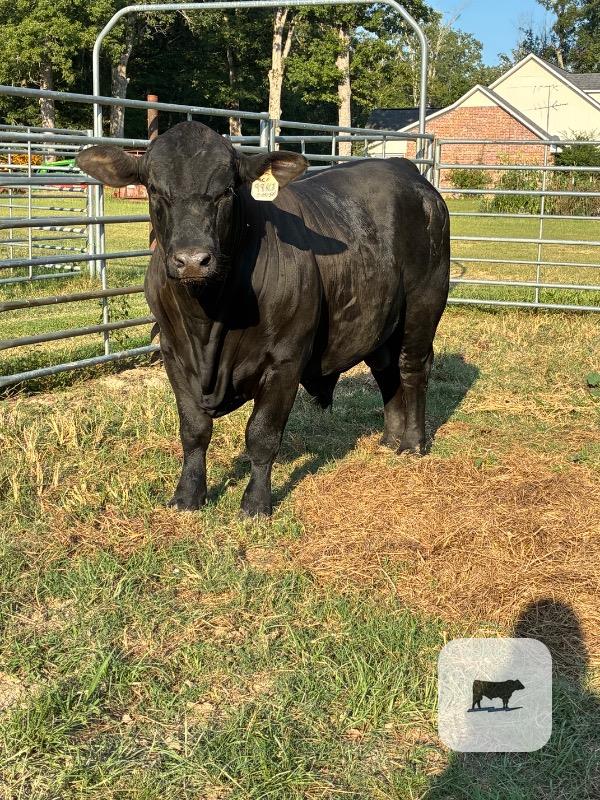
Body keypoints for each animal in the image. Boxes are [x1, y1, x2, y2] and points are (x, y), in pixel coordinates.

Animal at [76, 121, 450, 517]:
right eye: (155, 190)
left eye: (226, 191)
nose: (192, 260)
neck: (207, 324)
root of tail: (407, 172)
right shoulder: (173, 354)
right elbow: (194, 430)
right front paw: (188, 495)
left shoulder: (285, 360)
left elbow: (262, 434)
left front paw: (256, 503)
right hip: (379, 319)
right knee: (385, 370)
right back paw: (389, 439)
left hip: (424, 304)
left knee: (413, 368)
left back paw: (412, 443)